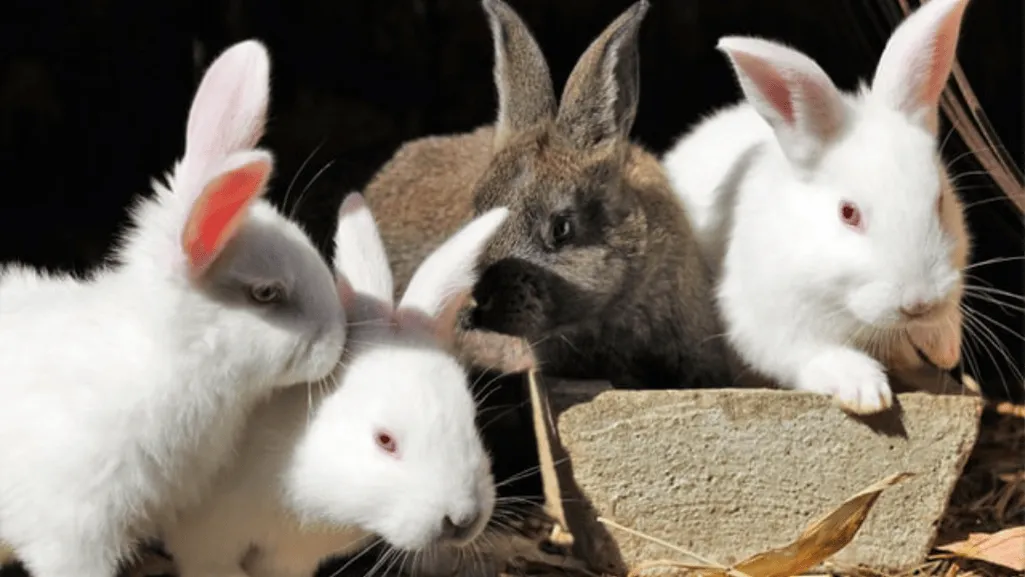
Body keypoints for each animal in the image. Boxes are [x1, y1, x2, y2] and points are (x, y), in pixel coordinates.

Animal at [660, 0, 973, 414]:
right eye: (848, 213)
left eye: (939, 202)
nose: (919, 303)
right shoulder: (767, 319)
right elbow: (813, 353)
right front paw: (865, 391)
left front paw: (944, 345)